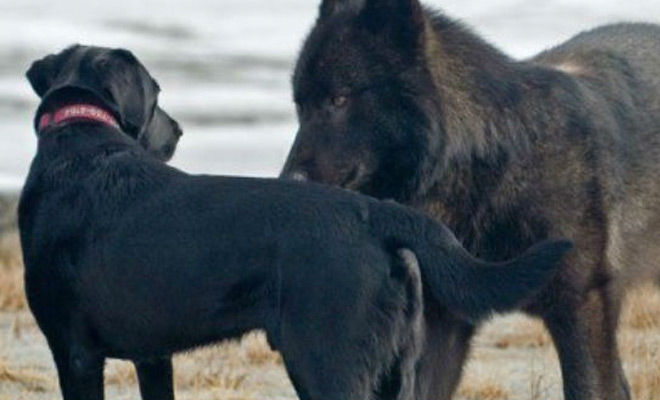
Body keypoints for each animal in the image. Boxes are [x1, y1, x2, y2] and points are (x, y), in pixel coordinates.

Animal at [20, 45, 568, 400]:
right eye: (157, 98)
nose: (177, 130)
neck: (81, 135)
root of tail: (377, 212)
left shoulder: (75, 352)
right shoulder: (152, 355)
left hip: (327, 361)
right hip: (396, 368)